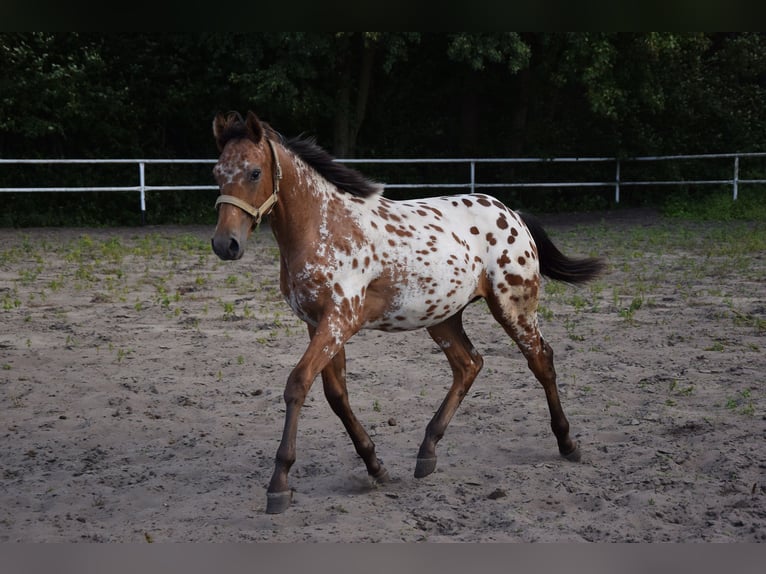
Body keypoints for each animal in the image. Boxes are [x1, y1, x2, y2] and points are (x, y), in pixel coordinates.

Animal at [210, 111, 605, 514]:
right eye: (216, 172)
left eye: (254, 172)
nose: (226, 244)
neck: (325, 227)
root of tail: (514, 215)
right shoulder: (317, 323)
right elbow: (336, 395)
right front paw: (375, 466)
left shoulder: (339, 320)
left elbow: (297, 384)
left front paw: (279, 484)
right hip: (443, 315)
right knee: (469, 364)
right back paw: (427, 452)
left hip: (513, 306)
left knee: (541, 359)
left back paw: (567, 443)